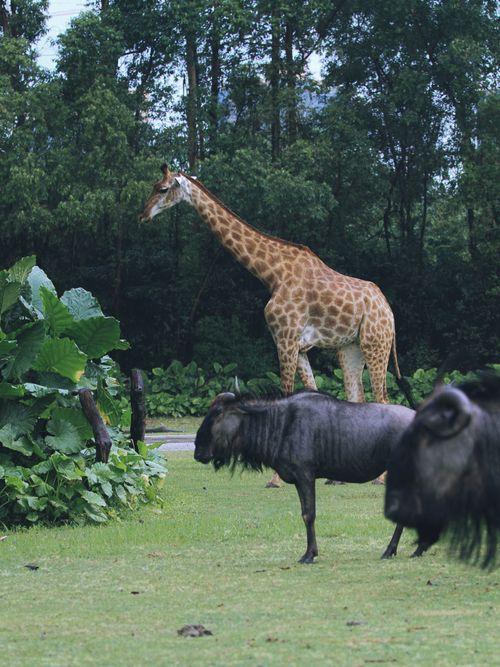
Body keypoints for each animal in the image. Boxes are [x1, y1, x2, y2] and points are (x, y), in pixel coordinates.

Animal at [139, 165, 402, 486]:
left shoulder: (285, 337)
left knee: (383, 398)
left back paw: (381, 478)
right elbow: (311, 391)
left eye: (162, 188)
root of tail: (388, 309)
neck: (272, 274)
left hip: (376, 342)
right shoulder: (298, 345)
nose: (142, 214)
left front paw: (276, 478)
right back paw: (345, 476)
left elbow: (285, 395)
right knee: (359, 395)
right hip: (350, 348)